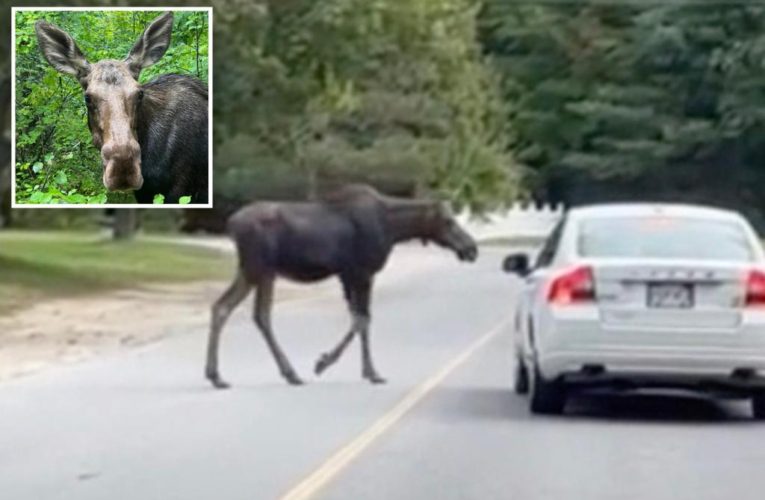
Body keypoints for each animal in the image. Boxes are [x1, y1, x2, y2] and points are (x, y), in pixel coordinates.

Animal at [204, 186, 478, 388]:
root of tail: (231, 224)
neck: (394, 230)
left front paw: (361, 370)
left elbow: (359, 319)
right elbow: (362, 320)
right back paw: (283, 372)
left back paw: (220, 375)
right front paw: (334, 364)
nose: (472, 248)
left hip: (255, 271)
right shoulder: (361, 273)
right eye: (448, 221)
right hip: (259, 269)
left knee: (228, 308)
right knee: (251, 313)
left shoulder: (347, 276)